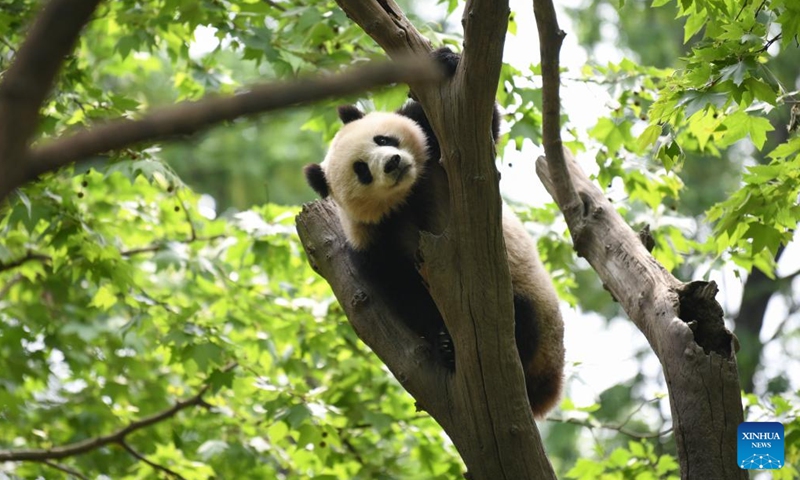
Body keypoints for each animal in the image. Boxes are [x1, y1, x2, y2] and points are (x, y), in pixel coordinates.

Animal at [304, 47, 564, 416]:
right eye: (362, 171)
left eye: (382, 139)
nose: (392, 163)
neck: (410, 193)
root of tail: (549, 391)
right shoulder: (374, 240)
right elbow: (403, 291)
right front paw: (440, 340)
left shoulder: (439, 150)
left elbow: (481, 129)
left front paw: (446, 60)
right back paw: (451, 351)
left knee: (522, 317)